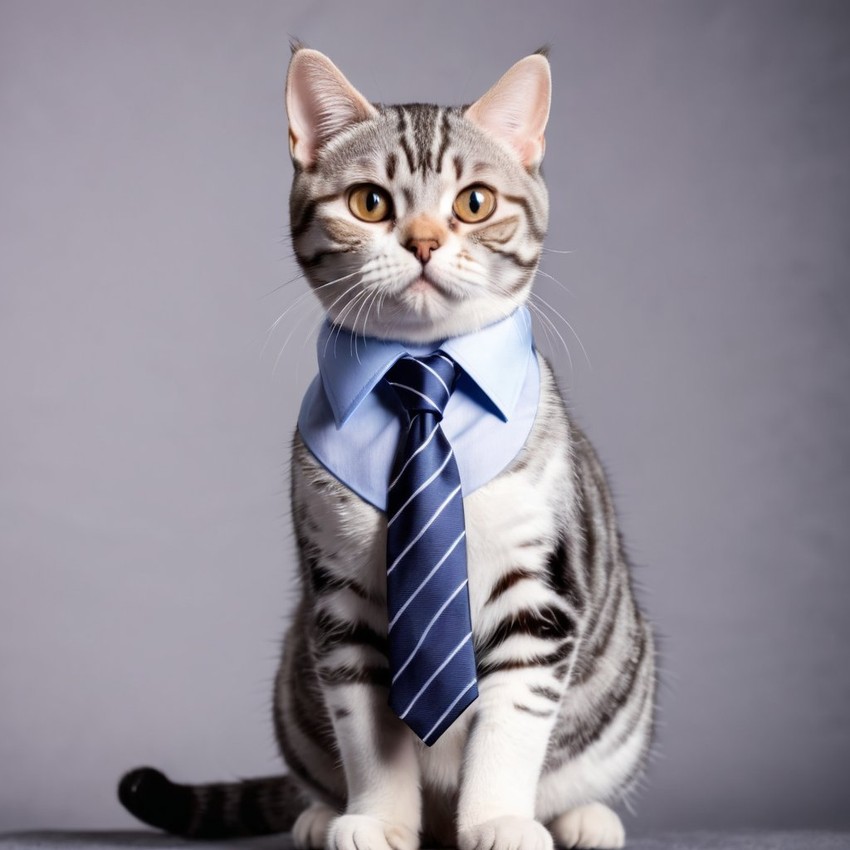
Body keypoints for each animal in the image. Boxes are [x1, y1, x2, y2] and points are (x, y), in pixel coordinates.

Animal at [116, 44, 652, 848]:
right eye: (370, 203)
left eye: (474, 203)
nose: (424, 240)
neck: (423, 374)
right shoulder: (343, 601)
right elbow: (367, 730)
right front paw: (376, 820)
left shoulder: (538, 594)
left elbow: (510, 728)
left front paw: (499, 819)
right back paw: (319, 814)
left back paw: (580, 819)